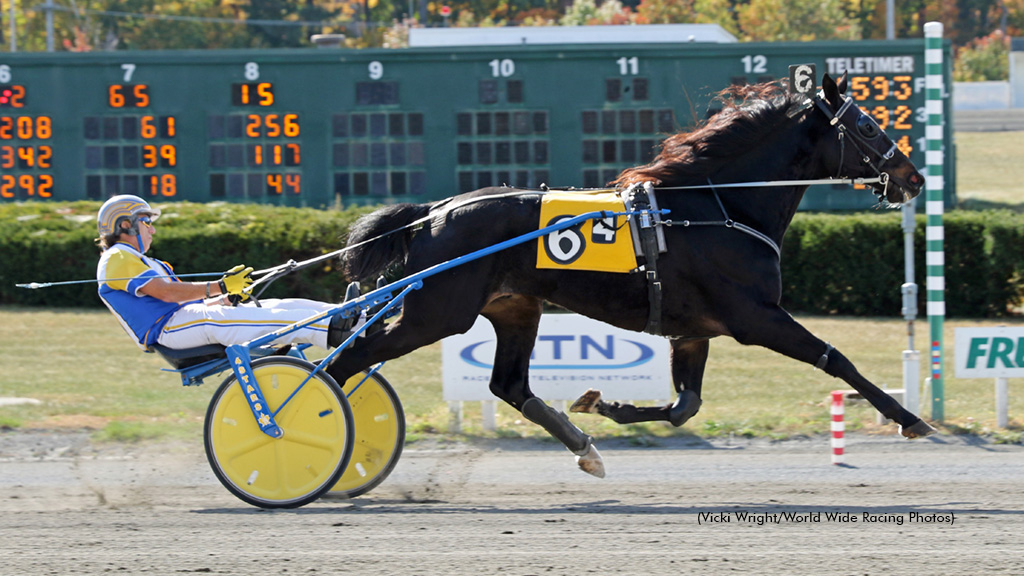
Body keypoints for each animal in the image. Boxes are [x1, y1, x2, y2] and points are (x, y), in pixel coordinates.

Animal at [325, 72, 937, 475]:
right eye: (866, 124)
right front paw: (910, 418)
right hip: (437, 311)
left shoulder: (694, 330)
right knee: (348, 358)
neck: (717, 206)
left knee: (509, 384)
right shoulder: (756, 316)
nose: (914, 177)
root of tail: (432, 211)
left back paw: (584, 447)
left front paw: (605, 405)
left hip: (515, 307)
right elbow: (836, 359)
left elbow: (685, 406)